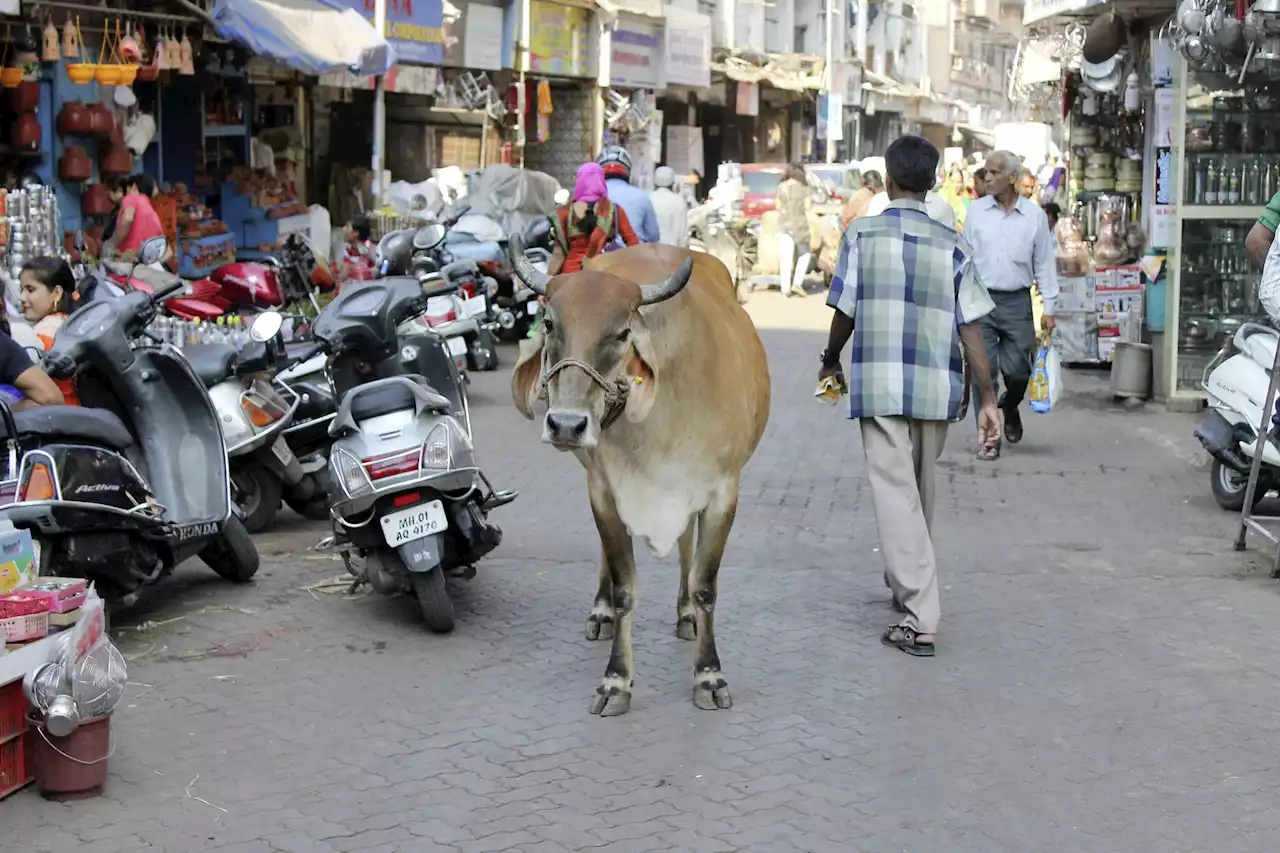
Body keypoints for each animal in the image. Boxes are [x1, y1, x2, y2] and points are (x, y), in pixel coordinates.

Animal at [509, 239, 768, 712]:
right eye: (550, 323)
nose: (566, 424)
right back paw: (601, 613)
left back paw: (685, 615)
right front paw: (616, 681)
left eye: (621, 333)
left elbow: (705, 584)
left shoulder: (723, 491)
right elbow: (624, 587)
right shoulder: (603, 492)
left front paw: (709, 675)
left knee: (686, 549)